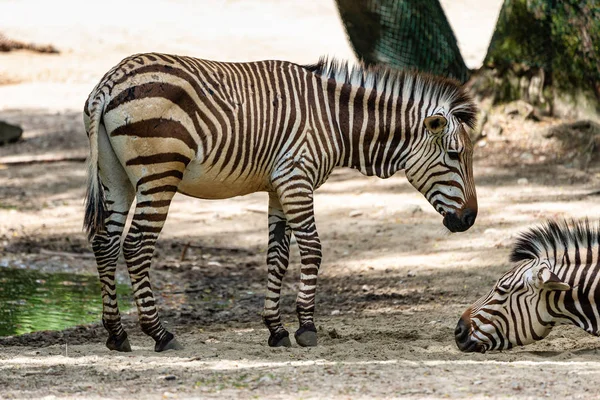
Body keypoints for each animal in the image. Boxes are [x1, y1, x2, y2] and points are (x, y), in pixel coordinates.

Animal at [83, 51, 478, 352]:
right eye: (455, 155)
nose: (470, 219)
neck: (335, 121)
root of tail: (110, 80)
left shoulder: (278, 187)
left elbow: (278, 256)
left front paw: (276, 329)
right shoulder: (296, 178)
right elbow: (313, 249)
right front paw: (306, 327)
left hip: (115, 177)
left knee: (105, 243)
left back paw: (116, 334)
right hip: (159, 173)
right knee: (136, 246)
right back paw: (160, 334)